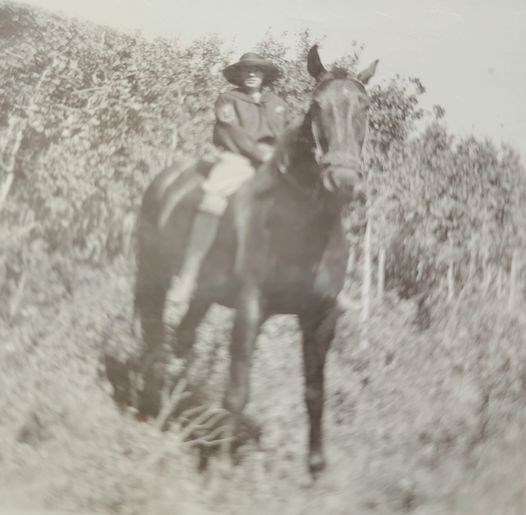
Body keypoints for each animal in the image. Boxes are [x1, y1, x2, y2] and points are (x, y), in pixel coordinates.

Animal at [134, 46, 378, 478]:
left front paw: (316, 466)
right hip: (154, 275)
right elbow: (237, 391)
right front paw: (223, 465)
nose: (344, 181)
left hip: (203, 295)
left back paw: (170, 404)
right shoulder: (251, 306)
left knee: (181, 339)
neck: (301, 225)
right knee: (153, 329)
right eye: (317, 105)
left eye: (364, 106)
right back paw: (148, 403)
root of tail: (165, 181)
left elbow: (315, 391)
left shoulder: (319, 318)